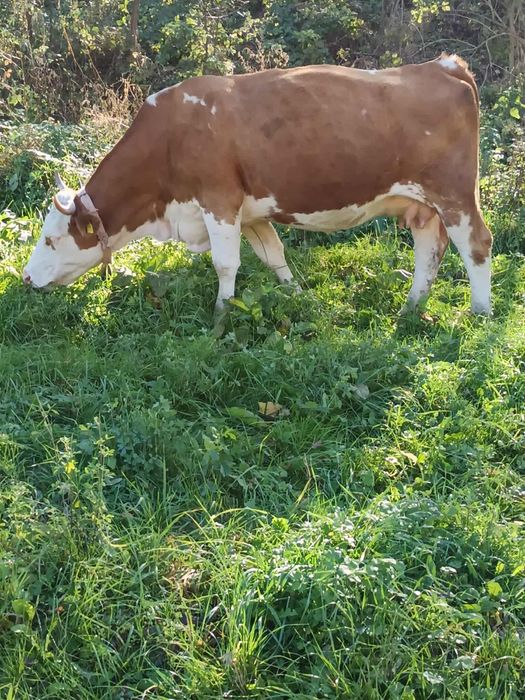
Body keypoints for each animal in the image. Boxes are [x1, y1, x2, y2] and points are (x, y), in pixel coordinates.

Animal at [23, 54, 493, 315]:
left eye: (49, 239)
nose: (25, 278)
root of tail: (444, 65)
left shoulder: (219, 201)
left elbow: (225, 264)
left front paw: (221, 313)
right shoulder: (250, 212)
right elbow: (273, 256)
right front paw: (298, 296)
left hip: (454, 194)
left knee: (476, 246)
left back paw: (480, 313)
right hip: (423, 204)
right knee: (429, 249)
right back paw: (412, 308)